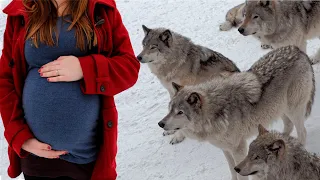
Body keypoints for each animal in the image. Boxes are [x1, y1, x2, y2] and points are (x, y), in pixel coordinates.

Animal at [158, 46, 316, 180]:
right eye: (170, 109)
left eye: (180, 112)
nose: (160, 124)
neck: (216, 114)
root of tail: (297, 50)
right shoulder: (226, 149)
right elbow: (232, 170)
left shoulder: (238, 149)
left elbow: (239, 173)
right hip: (278, 110)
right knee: (288, 126)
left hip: (293, 110)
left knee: (302, 131)